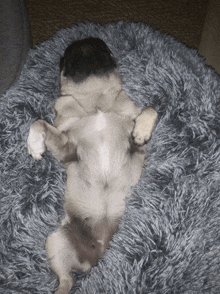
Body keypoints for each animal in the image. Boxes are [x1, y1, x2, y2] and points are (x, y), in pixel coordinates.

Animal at [27, 37, 158, 294]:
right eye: (67, 56)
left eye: (102, 48)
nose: (85, 43)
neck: (95, 99)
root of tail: (97, 258)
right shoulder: (67, 149)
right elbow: (38, 124)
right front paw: (34, 146)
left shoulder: (136, 147)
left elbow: (150, 110)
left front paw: (142, 131)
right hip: (56, 241)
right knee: (66, 280)